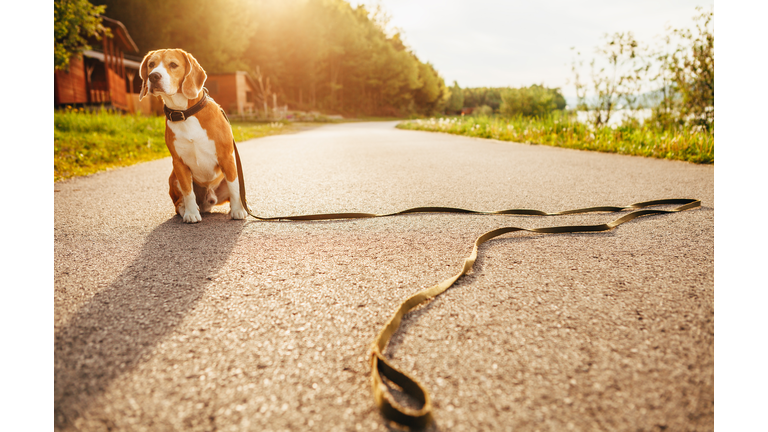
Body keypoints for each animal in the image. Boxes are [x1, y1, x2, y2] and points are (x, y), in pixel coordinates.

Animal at [137, 48, 246, 223]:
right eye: (151, 64)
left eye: (173, 65)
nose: (153, 76)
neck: (184, 112)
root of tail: (208, 201)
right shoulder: (179, 163)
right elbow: (188, 192)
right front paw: (191, 213)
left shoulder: (227, 158)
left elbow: (234, 188)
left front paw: (238, 211)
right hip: (173, 177)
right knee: (179, 203)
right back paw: (187, 209)